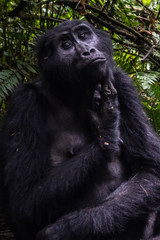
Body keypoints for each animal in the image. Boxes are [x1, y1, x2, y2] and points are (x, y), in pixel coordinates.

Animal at [1, 19, 160, 239]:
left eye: (84, 35)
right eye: (66, 45)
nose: (87, 51)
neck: (72, 93)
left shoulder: (123, 84)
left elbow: (150, 170)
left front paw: (71, 226)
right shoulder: (24, 103)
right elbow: (24, 201)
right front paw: (105, 128)